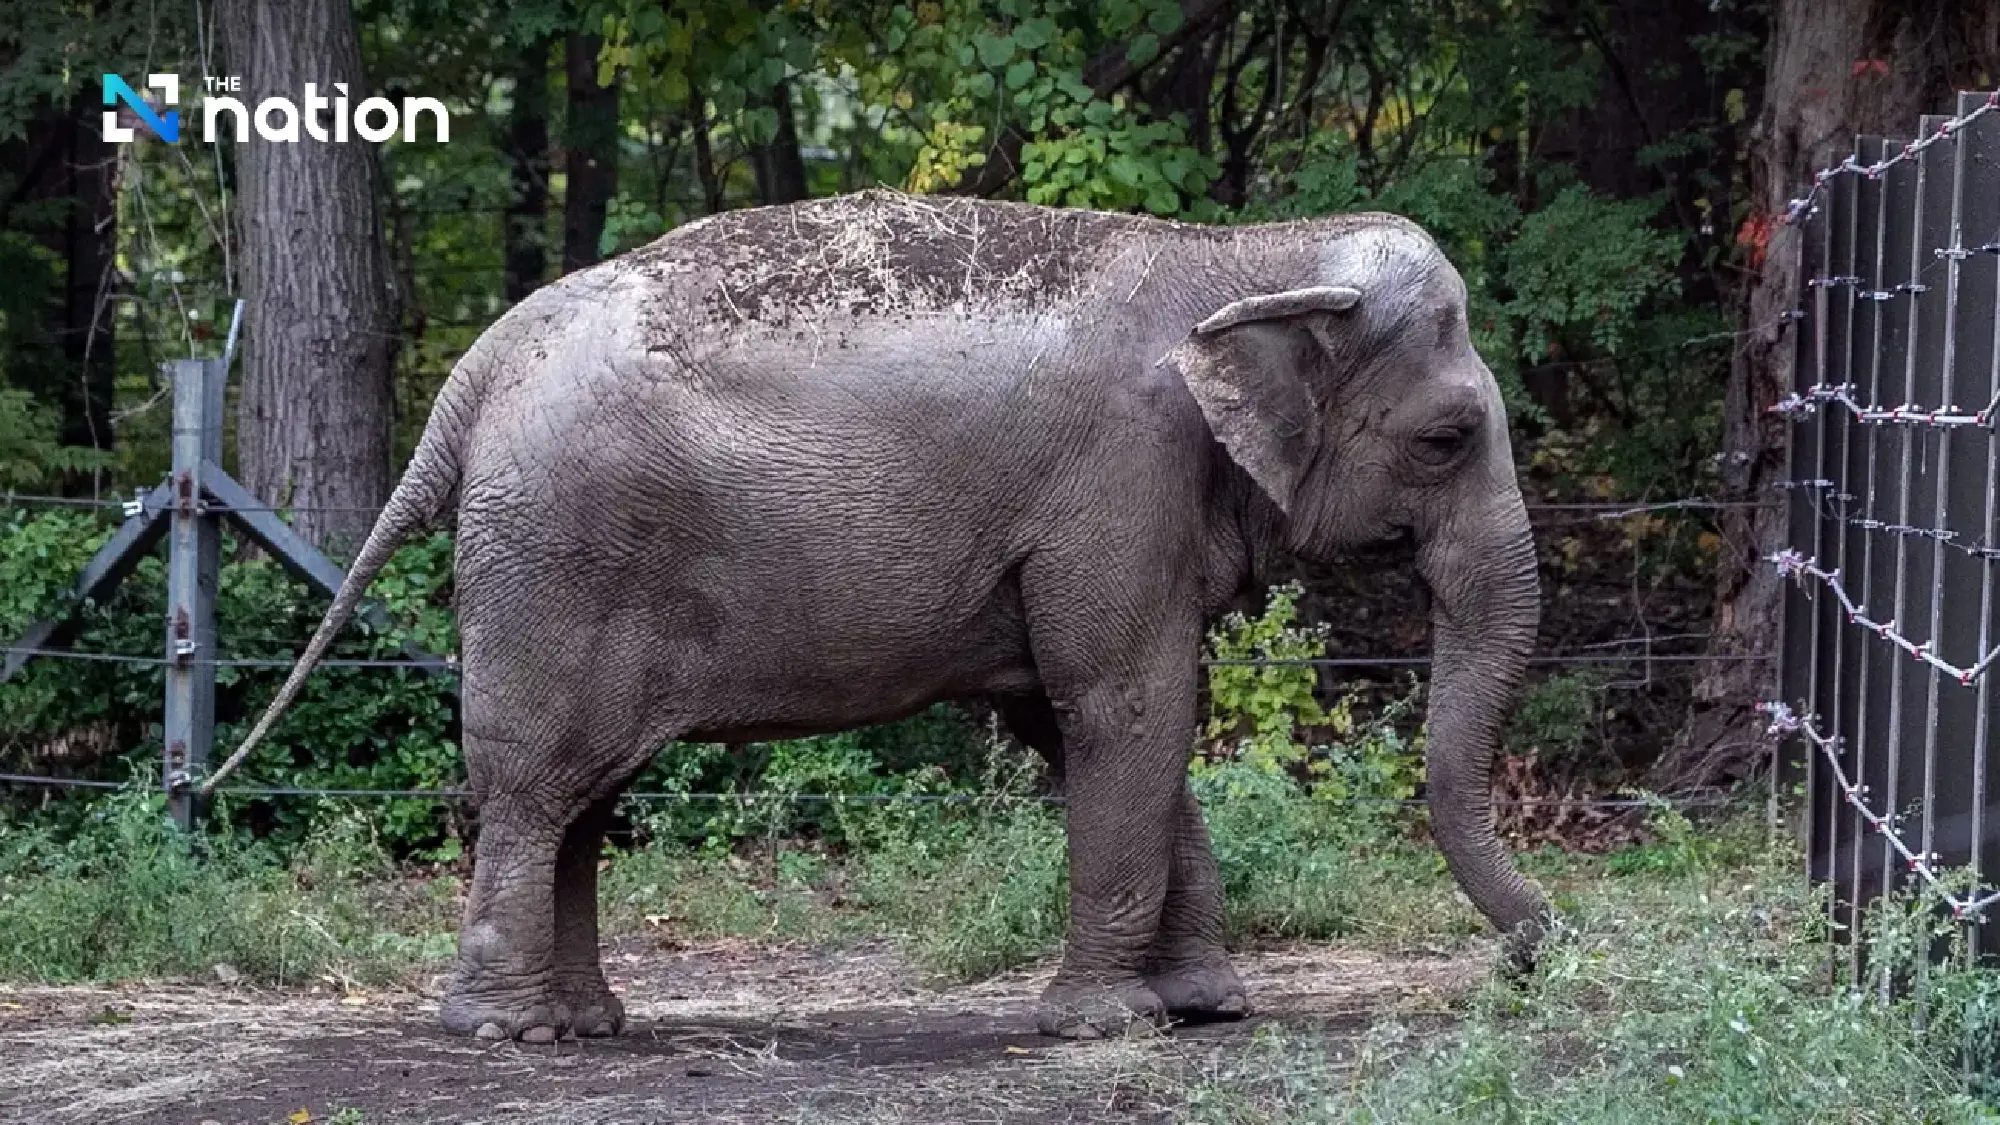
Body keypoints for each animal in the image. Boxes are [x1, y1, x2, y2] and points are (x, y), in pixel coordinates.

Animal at [224, 189, 1549, 1043]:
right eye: (1445, 439)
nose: (1532, 951)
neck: (1242, 257)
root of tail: (479, 367)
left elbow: (1096, 718)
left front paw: (1204, 1008)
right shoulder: (1116, 484)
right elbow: (1124, 704)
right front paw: (1104, 1026)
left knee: (582, 801)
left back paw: (586, 1025)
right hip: (554, 560)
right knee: (532, 787)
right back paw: (502, 1037)